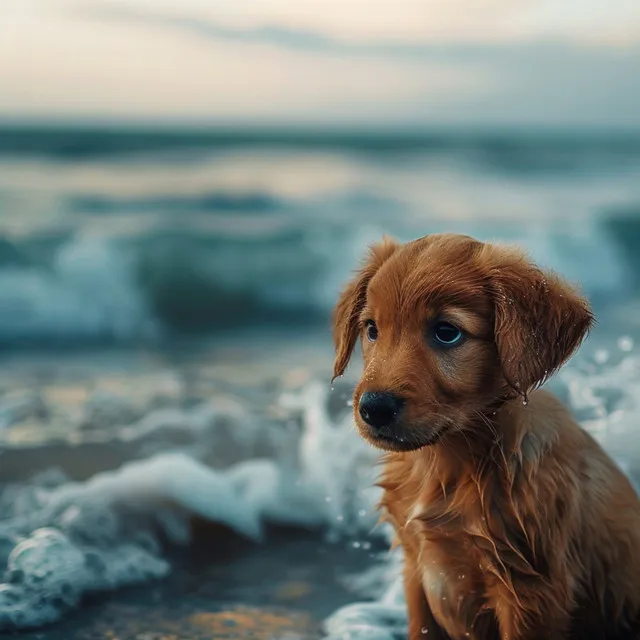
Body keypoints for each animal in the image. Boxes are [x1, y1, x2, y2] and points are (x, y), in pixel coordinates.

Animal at [332, 234, 640, 640]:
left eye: (447, 332)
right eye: (371, 328)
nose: (373, 408)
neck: (446, 463)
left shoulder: (530, 591)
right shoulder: (416, 573)